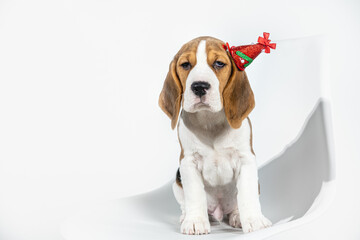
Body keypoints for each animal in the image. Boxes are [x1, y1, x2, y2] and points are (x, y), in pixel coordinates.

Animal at [159, 37, 272, 234]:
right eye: (185, 65)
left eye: (219, 63)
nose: (199, 87)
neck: (209, 120)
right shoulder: (188, 162)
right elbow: (195, 194)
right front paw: (195, 221)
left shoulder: (246, 158)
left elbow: (247, 192)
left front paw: (254, 220)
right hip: (177, 183)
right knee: (186, 204)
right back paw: (188, 217)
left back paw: (237, 216)